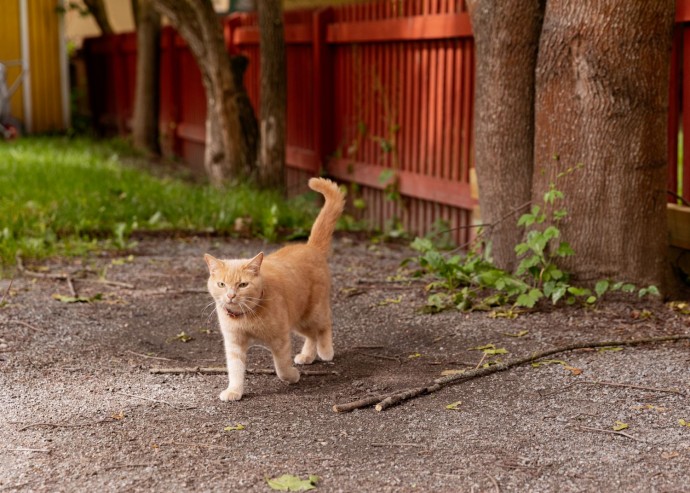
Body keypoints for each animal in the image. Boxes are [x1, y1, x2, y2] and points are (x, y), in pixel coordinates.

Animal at [203, 177, 344, 400]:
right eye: (222, 284)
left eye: (242, 284)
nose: (231, 295)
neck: (246, 316)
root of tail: (309, 247)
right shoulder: (234, 344)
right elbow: (235, 369)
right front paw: (234, 391)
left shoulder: (280, 339)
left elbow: (281, 367)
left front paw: (292, 377)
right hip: (298, 321)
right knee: (311, 334)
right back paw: (307, 355)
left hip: (312, 312)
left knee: (324, 326)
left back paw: (325, 350)